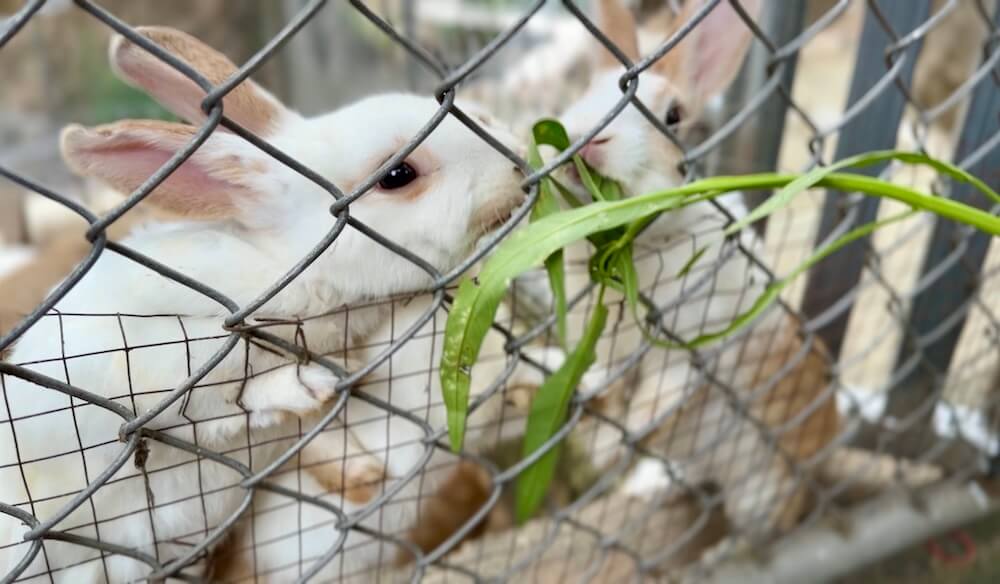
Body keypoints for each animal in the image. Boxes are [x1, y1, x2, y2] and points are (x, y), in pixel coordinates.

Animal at [0, 26, 525, 584]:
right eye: (398, 175)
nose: (518, 159)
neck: (289, 266)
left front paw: (358, 465)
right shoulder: (148, 354)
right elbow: (213, 399)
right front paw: (303, 386)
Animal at [544, 0, 840, 548]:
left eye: (674, 117)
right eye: (582, 94)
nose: (588, 141)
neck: (633, 245)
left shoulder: (699, 335)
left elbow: (667, 384)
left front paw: (633, 425)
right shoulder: (608, 345)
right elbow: (609, 384)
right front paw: (602, 429)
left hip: (763, 488)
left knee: (768, 524)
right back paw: (652, 487)